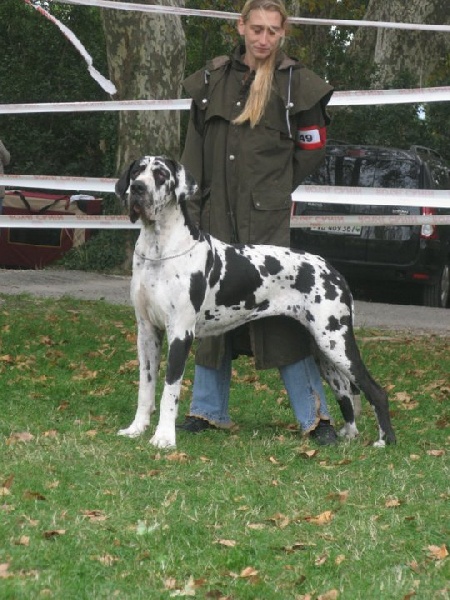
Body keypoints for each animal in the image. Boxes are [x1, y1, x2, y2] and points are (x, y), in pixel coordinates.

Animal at [114, 157, 396, 448]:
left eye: (160, 174)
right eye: (137, 171)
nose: (137, 188)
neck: (159, 249)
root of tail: (333, 270)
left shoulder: (181, 334)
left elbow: (170, 390)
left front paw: (164, 437)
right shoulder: (147, 332)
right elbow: (146, 388)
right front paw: (137, 428)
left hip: (336, 342)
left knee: (376, 391)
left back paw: (385, 440)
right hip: (324, 350)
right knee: (343, 389)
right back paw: (349, 433)